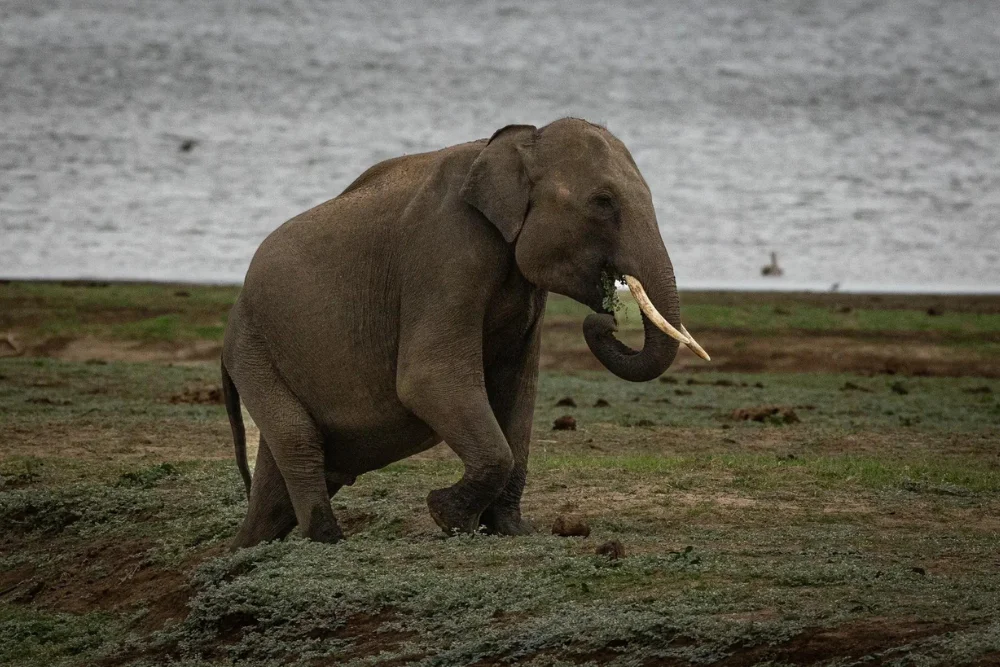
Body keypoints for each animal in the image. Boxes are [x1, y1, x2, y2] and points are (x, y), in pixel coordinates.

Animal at [223, 117, 708, 552]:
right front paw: (448, 517)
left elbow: (518, 390)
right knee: (297, 439)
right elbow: (428, 379)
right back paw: (327, 540)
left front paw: (511, 531)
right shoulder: (445, 250)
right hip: (252, 348)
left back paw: (249, 547)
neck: (517, 145)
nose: (605, 318)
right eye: (603, 201)